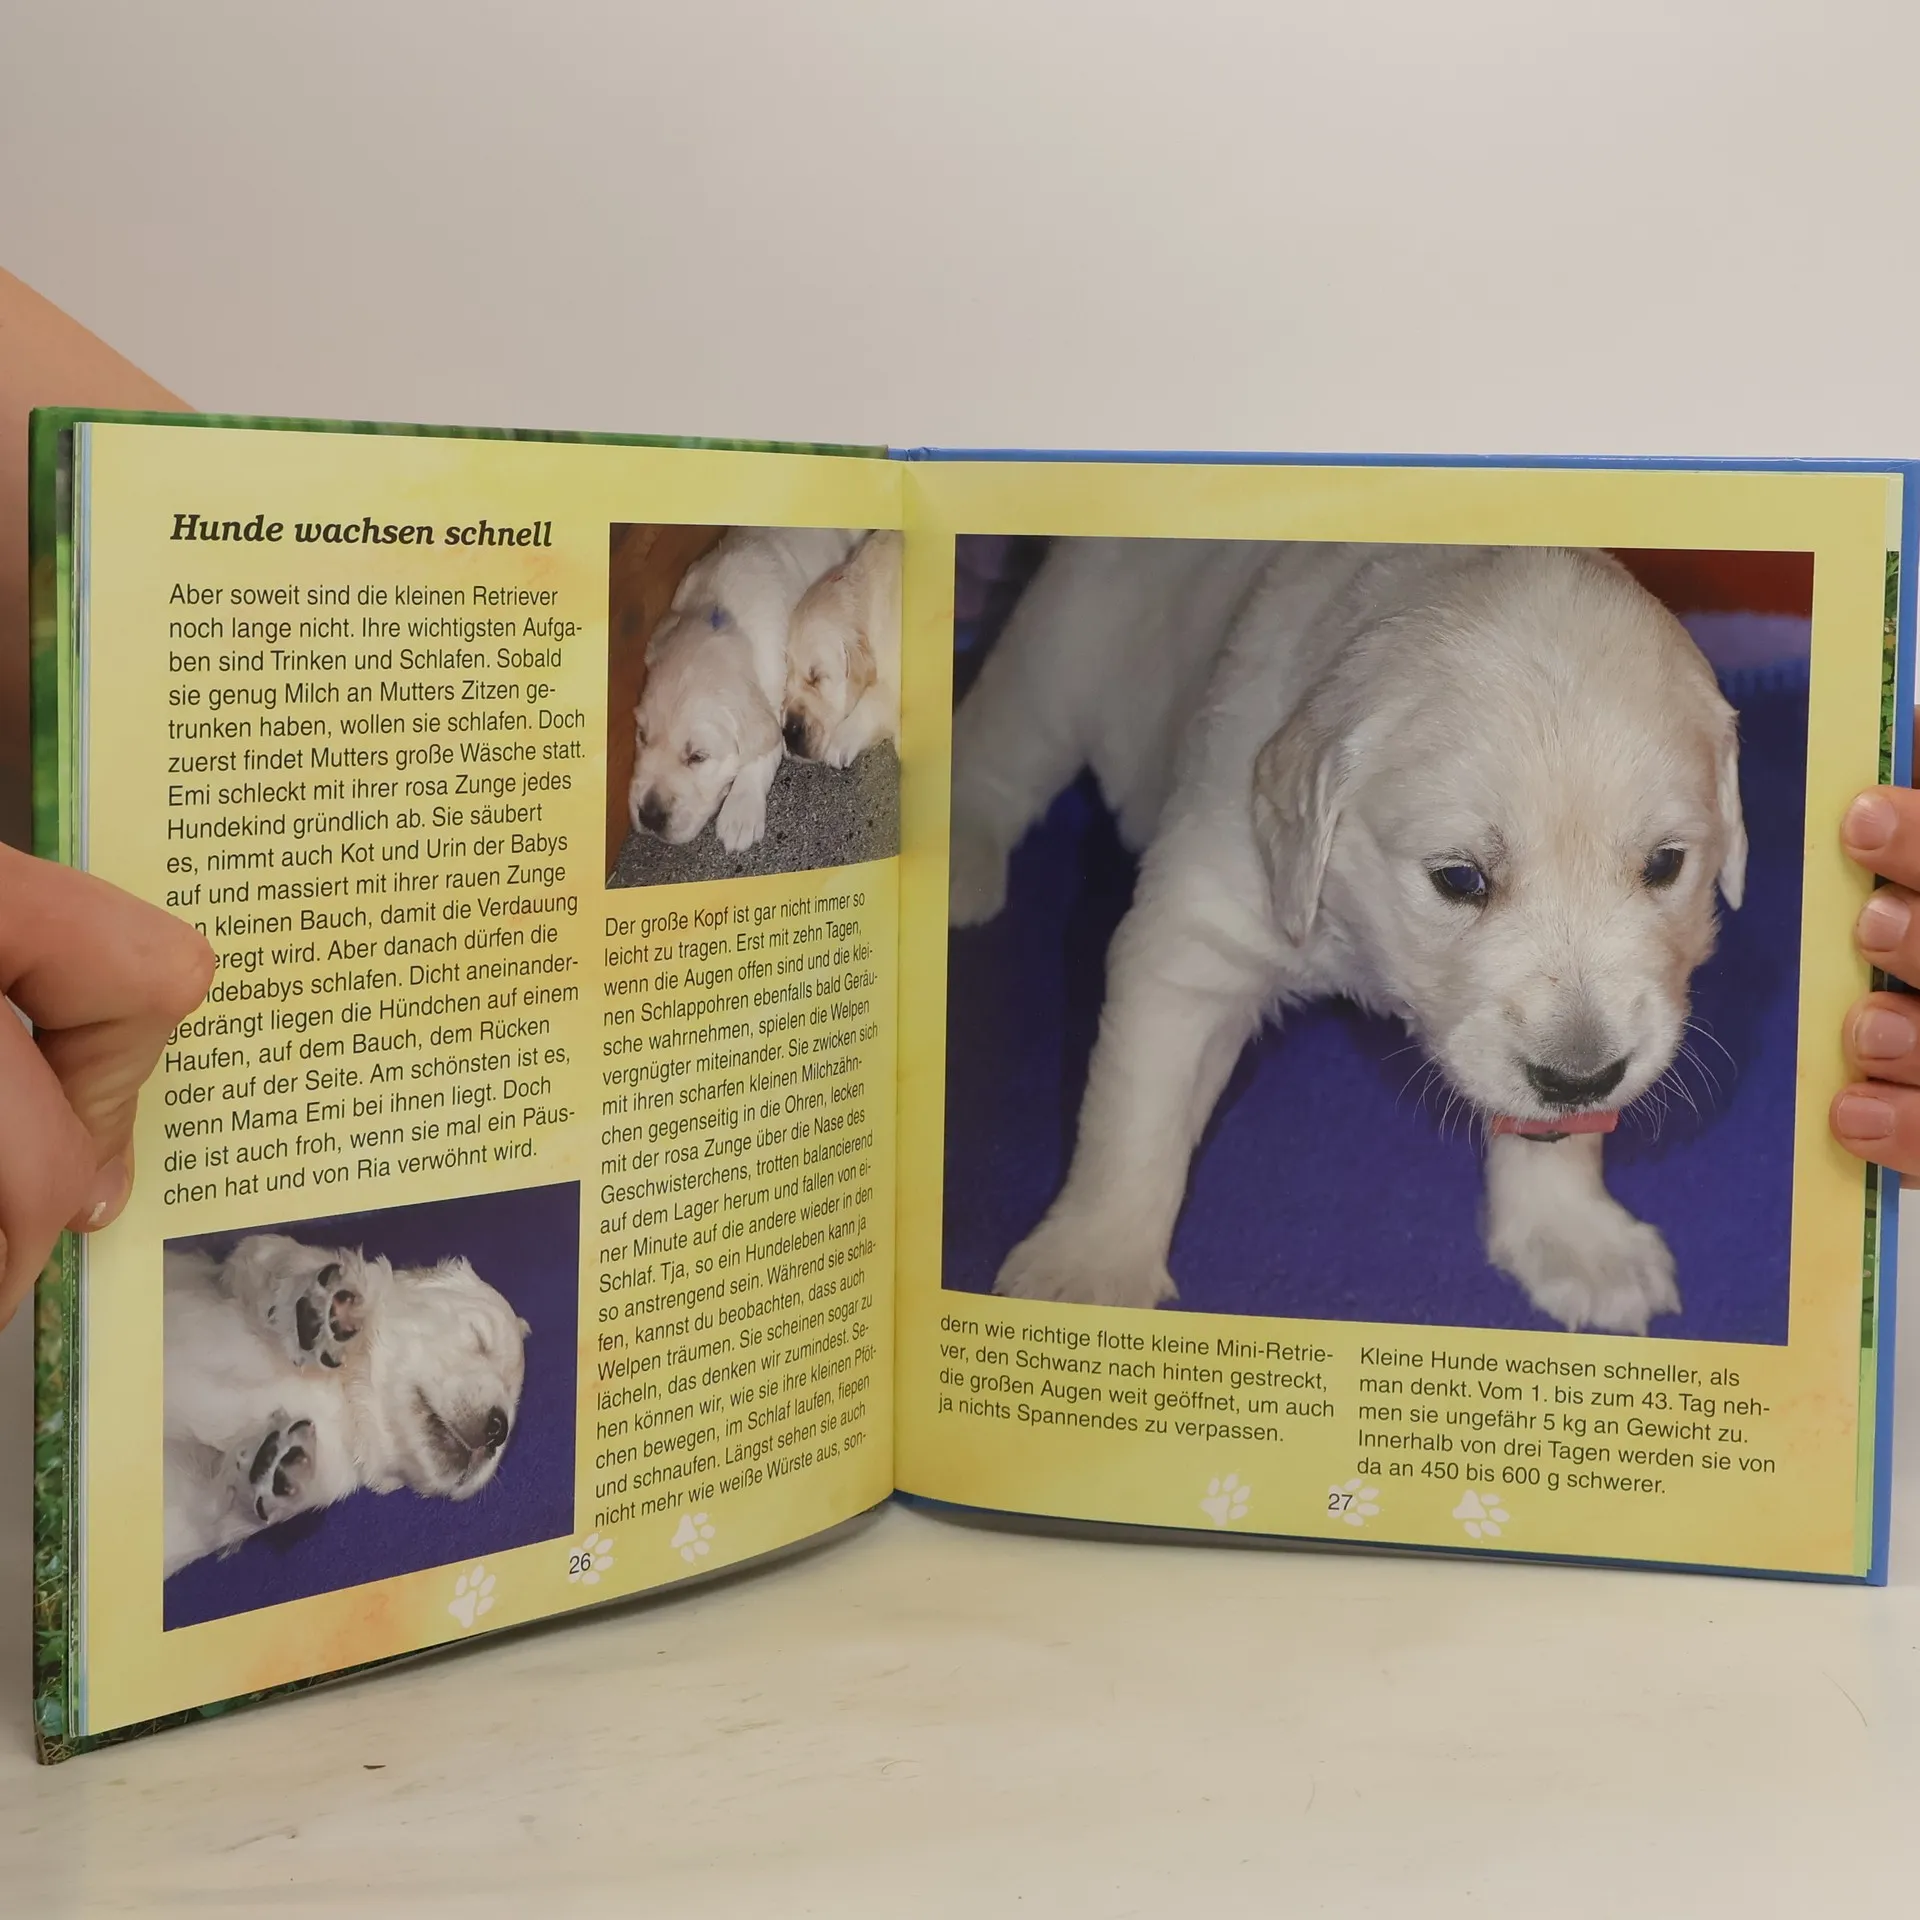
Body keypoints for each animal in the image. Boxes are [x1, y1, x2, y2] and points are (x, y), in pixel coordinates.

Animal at [163, 1233, 530, 1576]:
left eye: (512, 1413)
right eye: (479, 1339)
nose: (499, 1430)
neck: (345, 1397)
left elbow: (215, 1503)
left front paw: (278, 1466)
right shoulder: (216, 1273)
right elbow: (273, 1259)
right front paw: (320, 1308)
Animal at [629, 526, 860, 851]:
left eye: (697, 757)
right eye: (642, 737)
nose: (648, 816)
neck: (721, 619)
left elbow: (764, 747)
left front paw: (740, 813)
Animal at [949, 540, 1745, 1334]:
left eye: (1665, 865)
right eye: (1460, 879)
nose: (1579, 1079)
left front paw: (1578, 1242)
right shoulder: (1200, 927)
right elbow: (1138, 1117)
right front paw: (1087, 1278)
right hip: (1057, 658)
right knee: (995, 754)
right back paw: (960, 863)